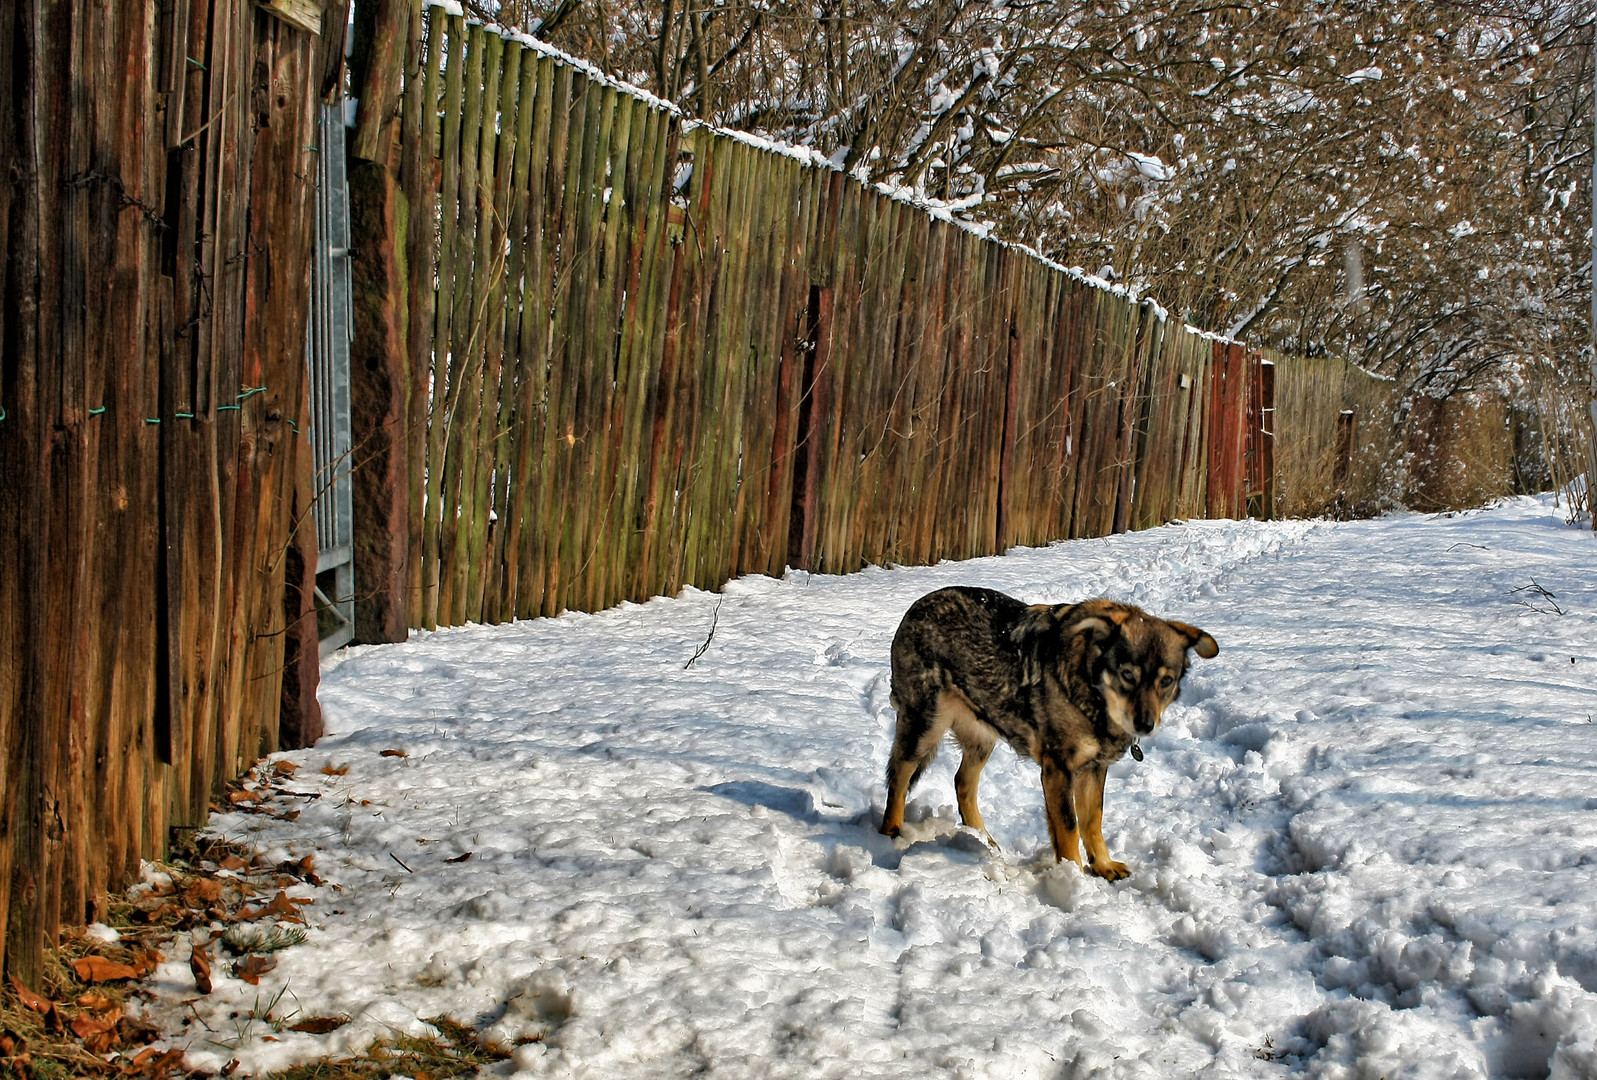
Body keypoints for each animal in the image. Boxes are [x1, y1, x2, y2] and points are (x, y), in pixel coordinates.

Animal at [881, 587, 1213, 881]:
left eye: (1166, 681)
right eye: (1127, 675)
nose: (1145, 724)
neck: (1091, 688)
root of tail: (916, 607)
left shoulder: (1094, 768)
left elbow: (1092, 820)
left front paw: (1103, 865)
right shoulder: (1058, 769)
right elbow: (1068, 827)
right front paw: (1075, 878)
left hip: (984, 733)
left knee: (962, 782)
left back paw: (983, 839)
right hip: (924, 726)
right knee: (899, 776)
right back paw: (890, 834)